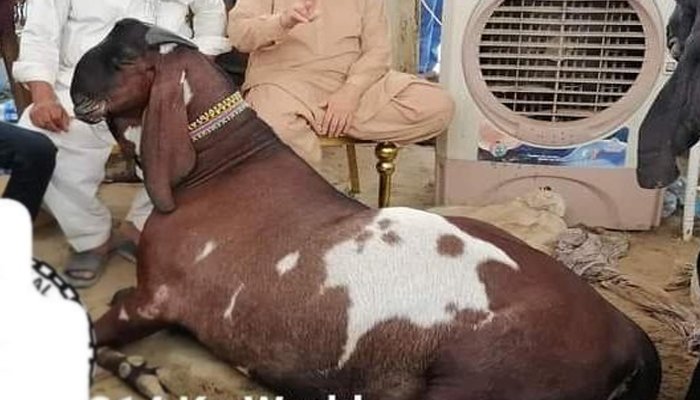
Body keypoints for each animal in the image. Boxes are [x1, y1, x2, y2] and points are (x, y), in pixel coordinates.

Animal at [71, 19, 660, 400]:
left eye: (124, 59)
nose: (73, 88)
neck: (220, 168)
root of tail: (627, 337)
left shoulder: (156, 298)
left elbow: (91, 333)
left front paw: (142, 373)